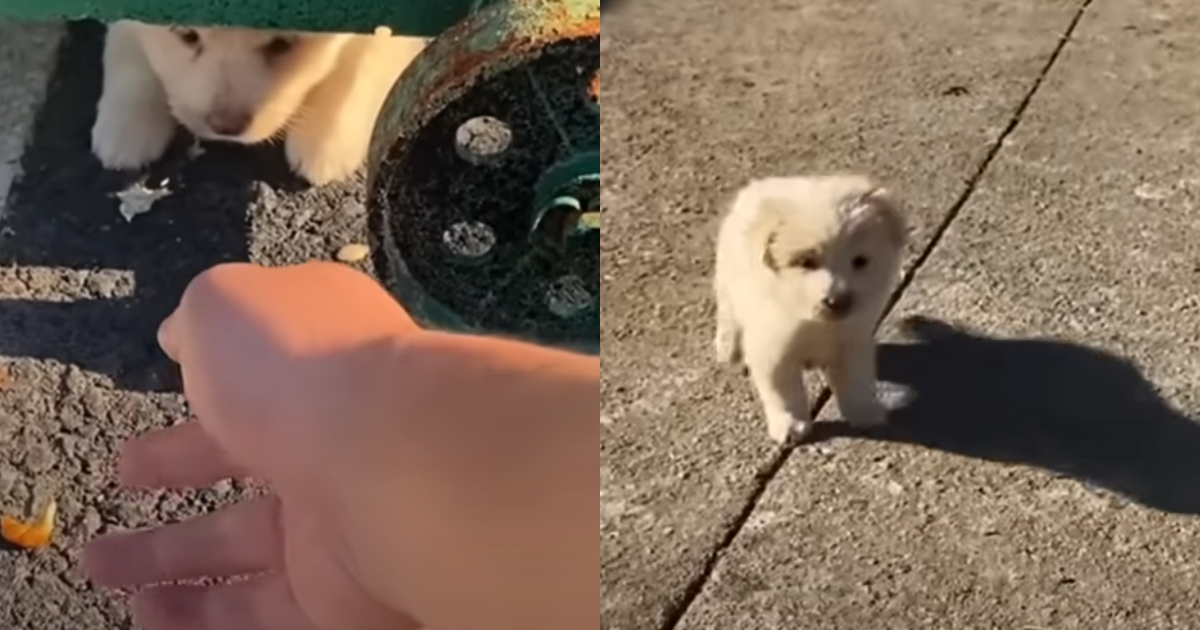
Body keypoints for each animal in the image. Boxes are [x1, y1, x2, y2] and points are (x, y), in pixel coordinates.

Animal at [94, 22, 432, 184]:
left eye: (282, 44)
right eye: (186, 35)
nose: (224, 127)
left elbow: (367, 56)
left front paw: (325, 140)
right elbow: (127, 38)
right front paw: (127, 128)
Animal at [715, 172, 902, 441]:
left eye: (860, 261)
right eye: (806, 261)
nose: (837, 301)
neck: (814, 323)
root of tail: (757, 187)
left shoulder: (853, 340)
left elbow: (857, 380)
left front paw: (864, 411)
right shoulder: (772, 349)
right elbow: (783, 392)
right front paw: (790, 425)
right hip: (727, 281)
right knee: (727, 315)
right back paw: (727, 348)